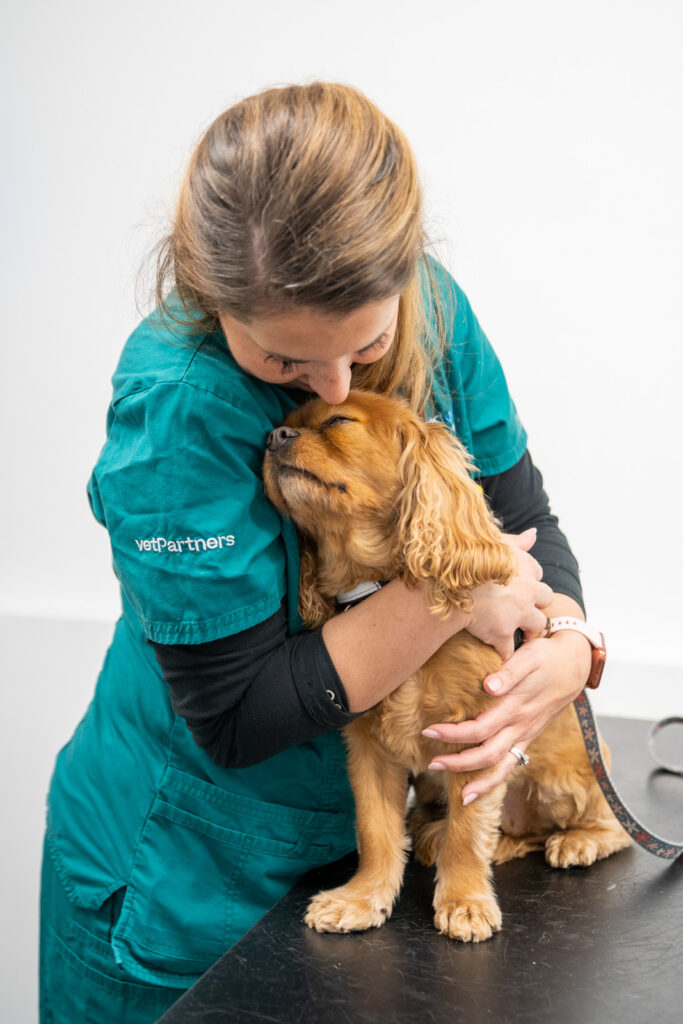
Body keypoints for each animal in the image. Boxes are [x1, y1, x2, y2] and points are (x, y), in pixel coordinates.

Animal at [262, 387, 630, 937]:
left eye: (339, 421)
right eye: (287, 420)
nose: (273, 437)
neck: (375, 586)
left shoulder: (481, 737)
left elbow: (468, 831)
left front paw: (465, 902)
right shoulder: (367, 749)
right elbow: (375, 828)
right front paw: (362, 898)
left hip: (566, 779)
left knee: (611, 827)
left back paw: (579, 840)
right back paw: (446, 835)